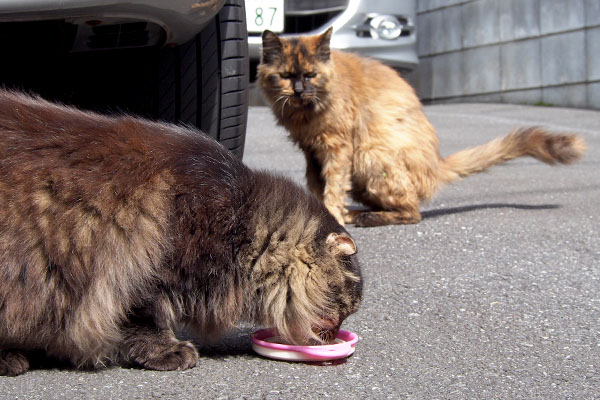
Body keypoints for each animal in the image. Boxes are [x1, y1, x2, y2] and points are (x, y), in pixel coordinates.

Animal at [0, 90, 360, 376]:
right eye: (346, 307)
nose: (336, 334)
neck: (240, 224)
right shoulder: (141, 272)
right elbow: (145, 320)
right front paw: (168, 351)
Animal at [258, 27, 584, 228]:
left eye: (310, 74)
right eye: (285, 75)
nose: (299, 90)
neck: (304, 115)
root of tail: (437, 164)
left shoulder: (337, 148)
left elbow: (333, 188)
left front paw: (333, 215)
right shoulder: (310, 152)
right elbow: (316, 186)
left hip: (369, 156)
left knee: (413, 212)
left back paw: (365, 217)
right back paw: (358, 213)